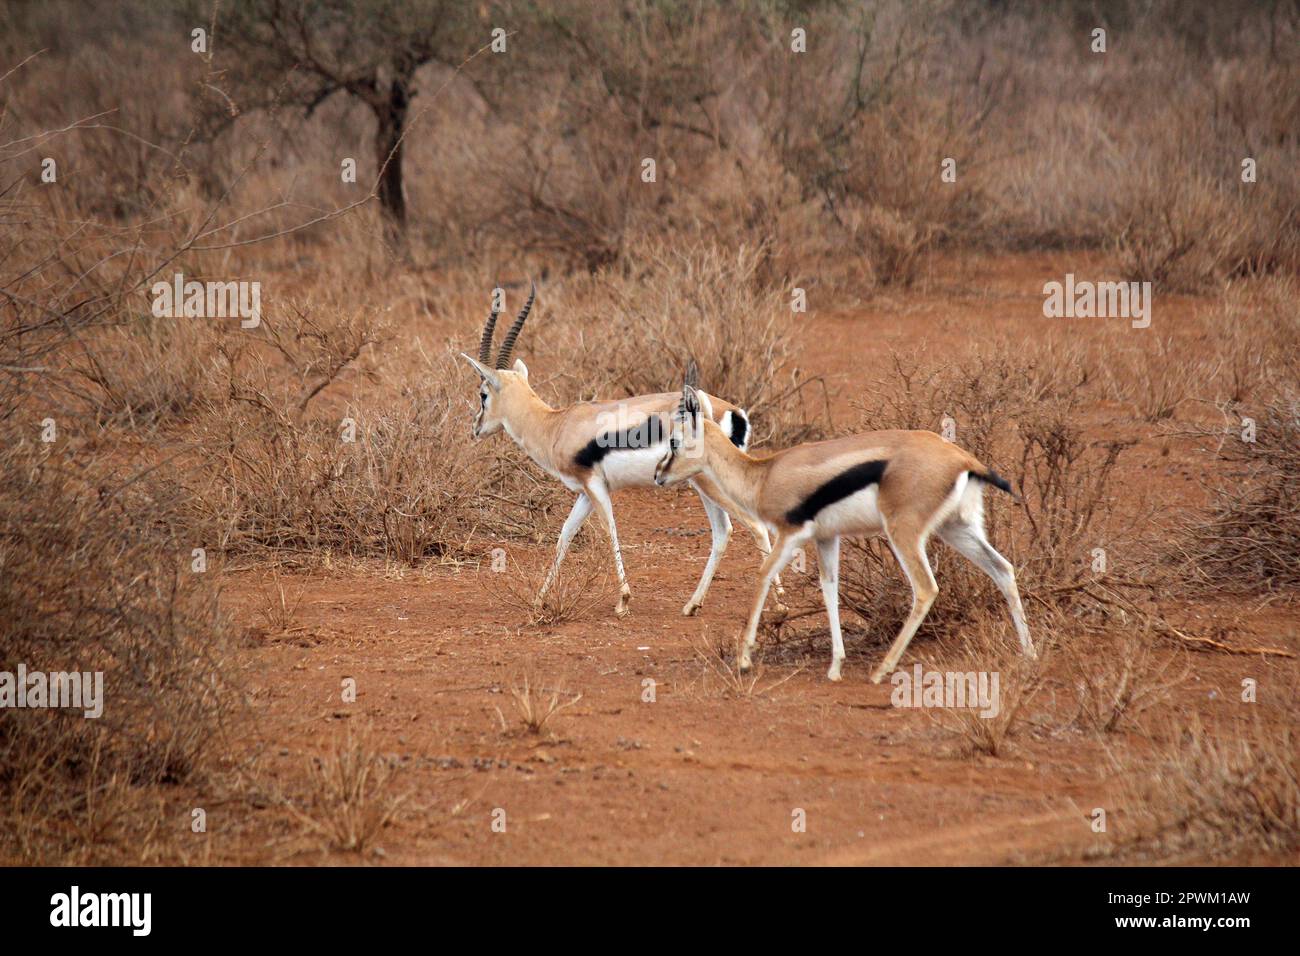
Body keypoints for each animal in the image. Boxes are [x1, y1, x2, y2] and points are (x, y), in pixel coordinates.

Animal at [458, 285, 785, 619]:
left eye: (483, 394)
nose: (476, 427)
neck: (556, 424)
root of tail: (730, 411)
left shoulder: (594, 486)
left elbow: (609, 530)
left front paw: (623, 600)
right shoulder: (584, 491)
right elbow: (565, 534)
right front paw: (539, 600)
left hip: (710, 482)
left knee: (755, 526)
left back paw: (781, 604)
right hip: (703, 483)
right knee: (723, 533)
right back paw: (693, 604)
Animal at [654, 375, 1034, 683]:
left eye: (673, 442)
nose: (658, 475)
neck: (762, 477)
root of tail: (964, 461)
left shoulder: (790, 535)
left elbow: (762, 575)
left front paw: (744, 659)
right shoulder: (826, 538)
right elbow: (830, 589)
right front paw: (836, 665)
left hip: (905, 533)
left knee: (926, 589)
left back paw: (883, 670)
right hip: (955, 528)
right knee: (1003, 568)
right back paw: (1029, 654)